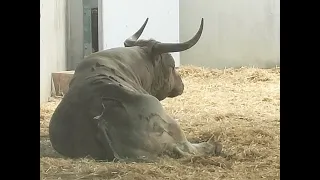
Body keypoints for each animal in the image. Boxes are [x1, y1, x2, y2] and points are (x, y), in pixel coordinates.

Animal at [48, 18, 222, 162]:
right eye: (171, 65)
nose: (181, 85)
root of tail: (101, 121)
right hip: (167, 120)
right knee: (187, 147)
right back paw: (213, 145)